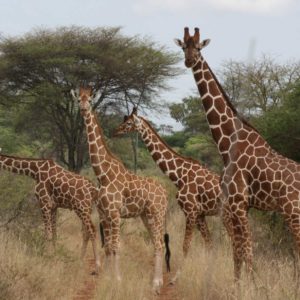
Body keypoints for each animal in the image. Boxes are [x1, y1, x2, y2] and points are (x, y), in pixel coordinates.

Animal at [70, 85, 169, 292]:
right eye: (78, 100)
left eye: (89, 100)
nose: (83, 109)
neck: (102, 174)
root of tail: (166, 193)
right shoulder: (103, 213)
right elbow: (107, 246)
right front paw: (107, 278)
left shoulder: (115, 213)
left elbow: (116, 246)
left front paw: (117, 280)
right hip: (146, 215)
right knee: (156, 243)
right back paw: (156, 282)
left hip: (157, 213)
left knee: (159, 244)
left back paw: (156, 283)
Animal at [113, 108, 233, 282]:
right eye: (124, 120)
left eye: (128, 123)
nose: (115, 131)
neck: (178, 176)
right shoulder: (200, 214)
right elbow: (208, 244)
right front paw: (208, 274)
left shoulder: (190, 211)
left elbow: (185, 245)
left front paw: (176, 278)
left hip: (227, 216)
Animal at [175, 27, 300, 280]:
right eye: (183, 46)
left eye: (199, 47)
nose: (189, 61)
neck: (226, 145)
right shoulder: (234, 206)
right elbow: (238, 253)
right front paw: (238, 283)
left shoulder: (240, 204)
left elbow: (248, 252)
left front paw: (252, 284)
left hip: (293, 212)